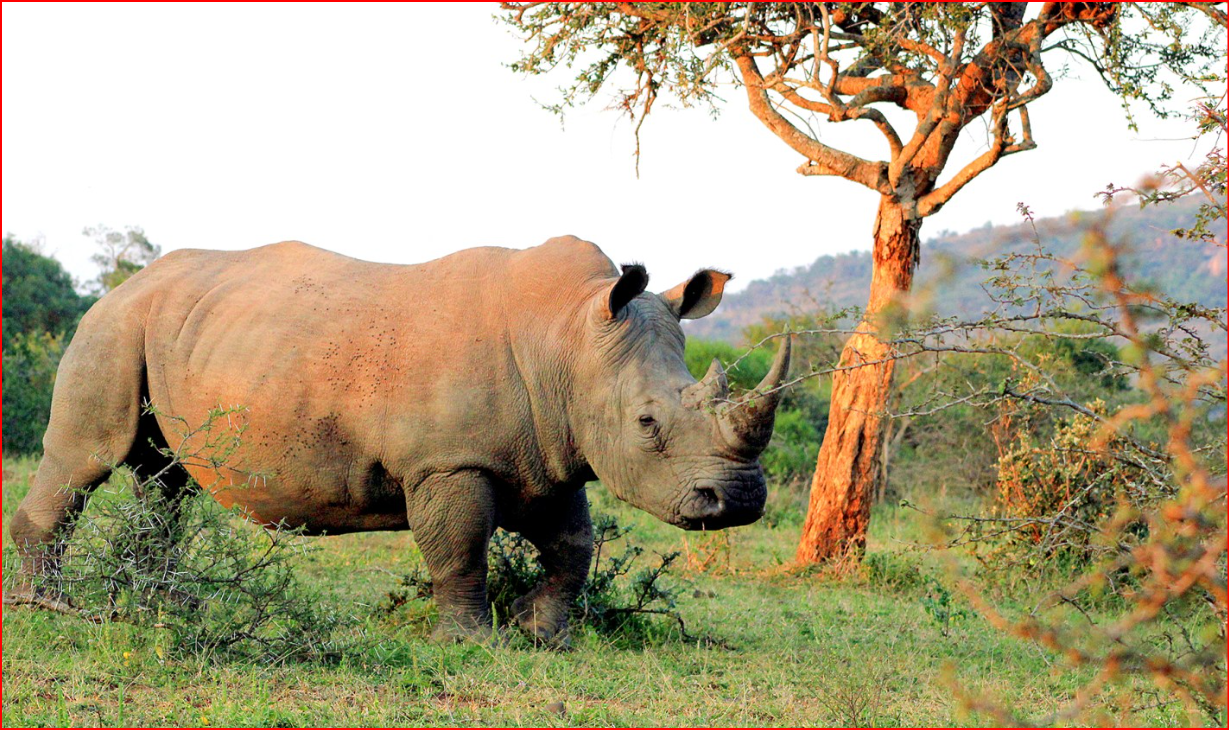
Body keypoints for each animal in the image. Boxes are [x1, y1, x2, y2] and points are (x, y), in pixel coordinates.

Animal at [8, 236, 789, 641]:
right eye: (648, 424)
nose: (741, 501)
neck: (569, 337)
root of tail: (124, 283)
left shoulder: (550, 454)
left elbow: (573, 547)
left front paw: (545, 635)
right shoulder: (449, 460)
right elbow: (461, 548)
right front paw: (473, 643)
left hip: (174, 329)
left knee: (165, 481)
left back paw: (159, 607)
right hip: (111, 328)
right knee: (86, 459)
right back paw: (48, 610)